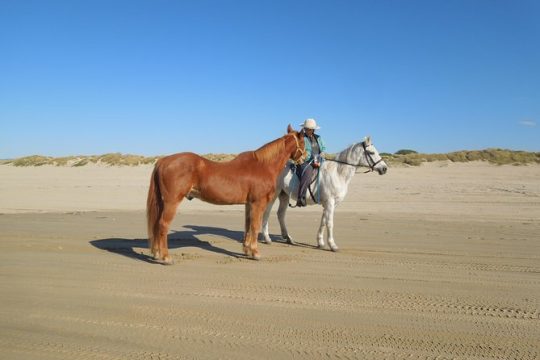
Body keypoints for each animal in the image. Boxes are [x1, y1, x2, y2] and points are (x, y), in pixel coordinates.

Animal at [147, 125, 304, 262]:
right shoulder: (258, 203)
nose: (304, 158)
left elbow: (247, 226)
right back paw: (166, 257)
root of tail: (163, 161)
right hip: (172, 202)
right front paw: (255, 253)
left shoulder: (249, 204)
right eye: (303, 142)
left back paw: (156, 254)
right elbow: (255, 226)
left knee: (156, 224)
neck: (263, 166)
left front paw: (247, 250)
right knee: (163, 225)